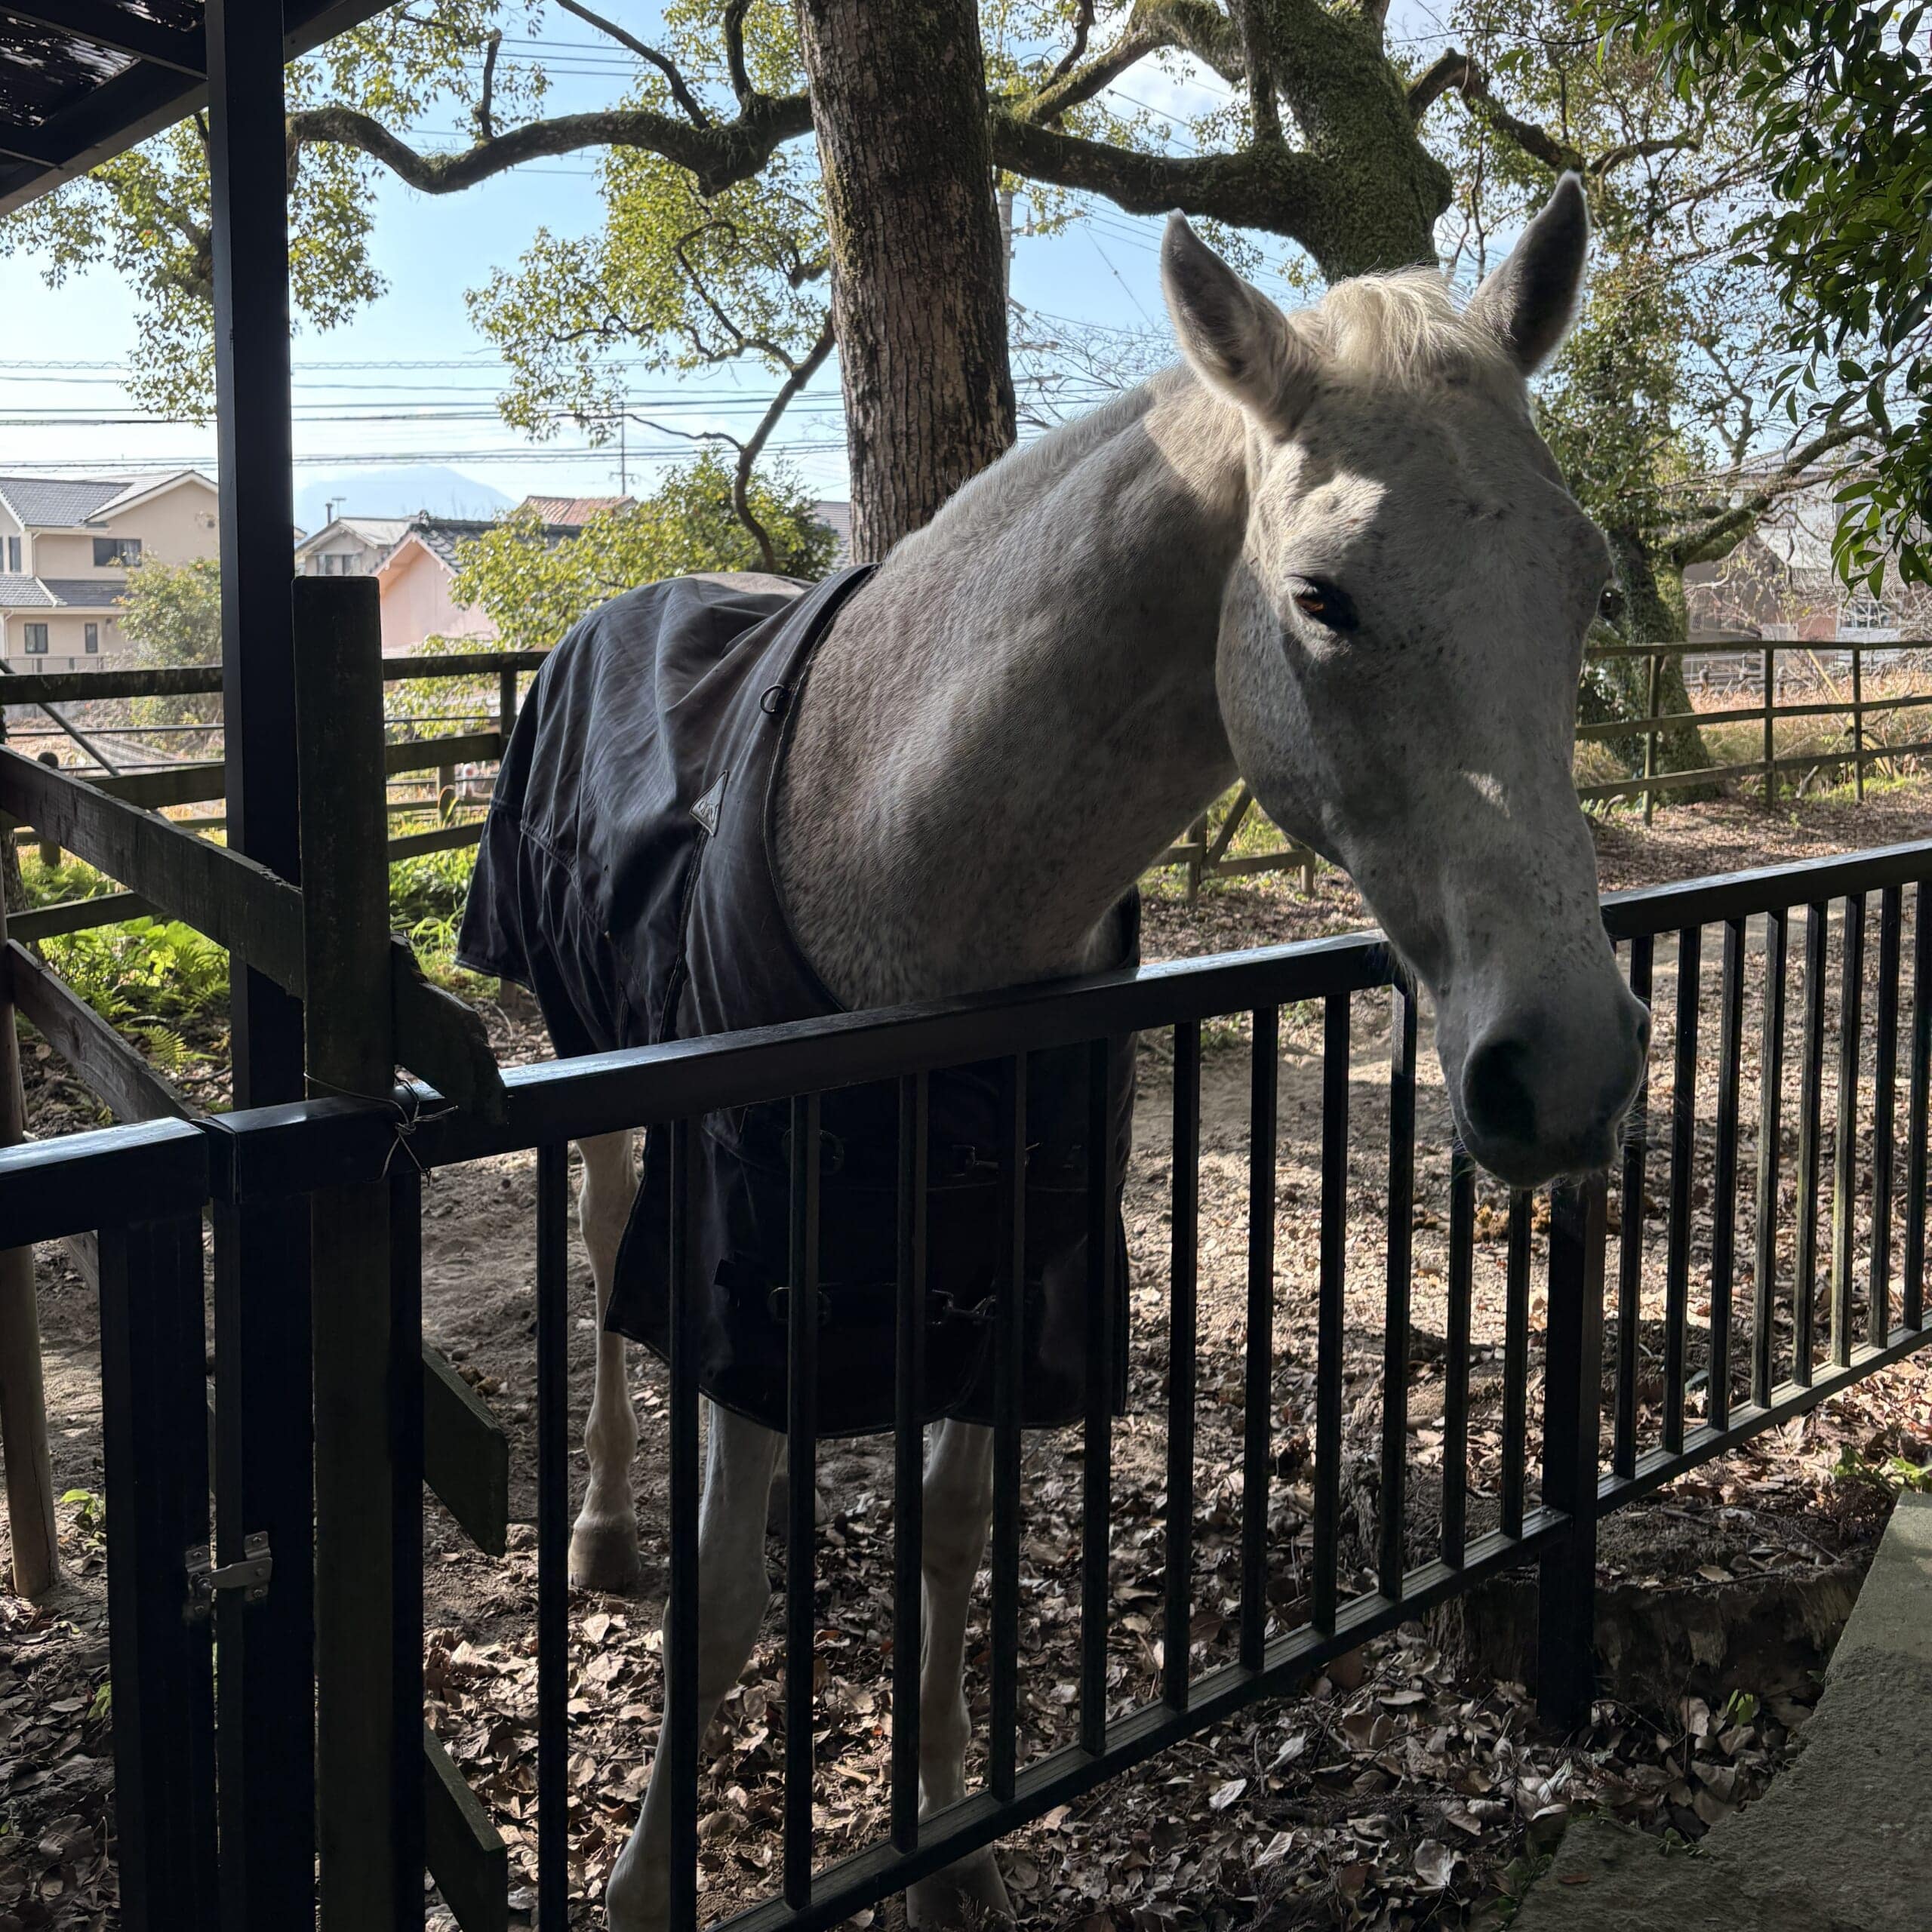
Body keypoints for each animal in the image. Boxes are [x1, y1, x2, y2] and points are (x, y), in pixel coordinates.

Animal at [471, 174, 1649, 1930]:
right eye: (1321, 597)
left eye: (1585, 583)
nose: (1565, 1067)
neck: (898, 857)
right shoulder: (752, 1270)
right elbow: (727, 1594)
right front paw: (641, 1879)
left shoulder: (1004, 1267)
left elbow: (953, 1529)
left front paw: (946, 1841)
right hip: (601, 1075)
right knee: (609, 1238)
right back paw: (607, 1526)